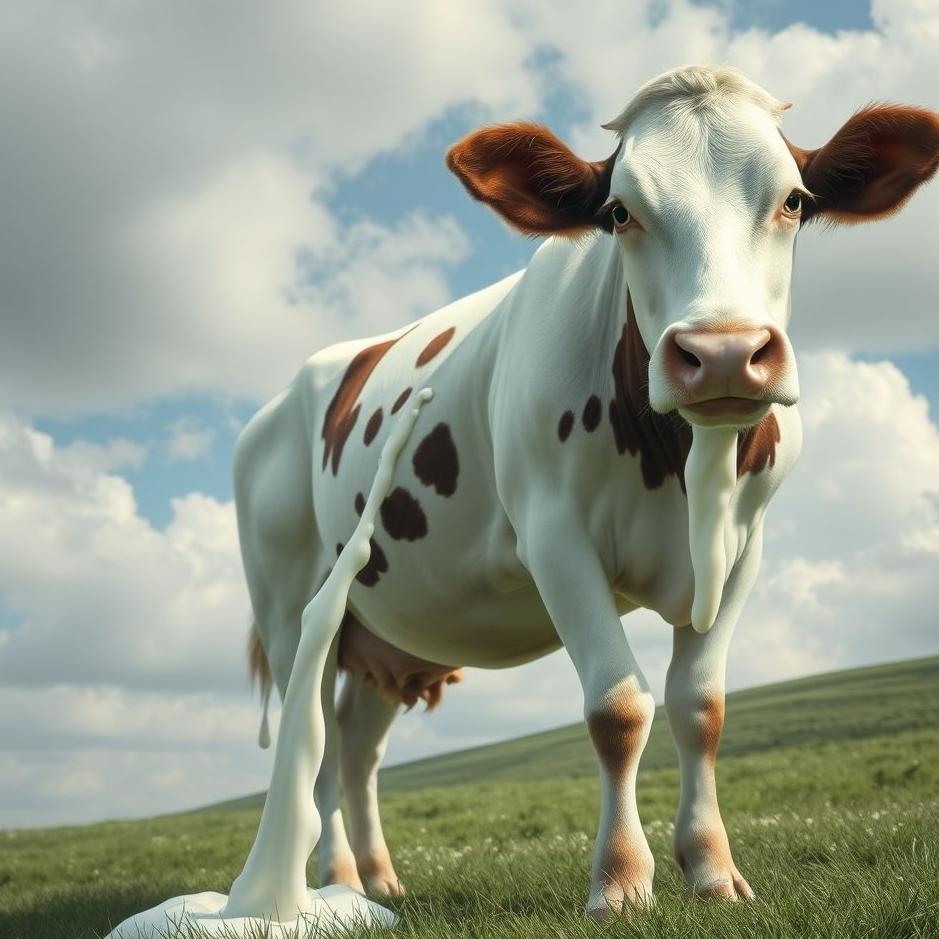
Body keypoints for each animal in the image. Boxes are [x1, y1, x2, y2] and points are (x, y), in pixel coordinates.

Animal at [233, 65, 939, 917]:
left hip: (389, 630)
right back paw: (324, 883)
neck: (683, 469)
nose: (723, 352)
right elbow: (618, 706)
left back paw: (371, 879)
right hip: (290, 608)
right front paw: (621, 881)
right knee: (315, 741)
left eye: (794, 200)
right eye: (618, 211)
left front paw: (712, 870)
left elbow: (700, 706)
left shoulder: (744, 549)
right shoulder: (554, 536)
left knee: (356, 743)